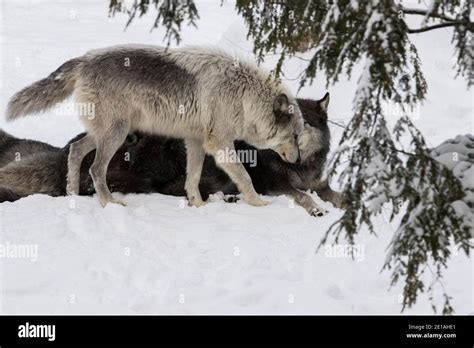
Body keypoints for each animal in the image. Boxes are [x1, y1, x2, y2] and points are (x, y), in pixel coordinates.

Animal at [0, 94, 340, 216]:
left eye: (304, 125)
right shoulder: (277, 186)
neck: (302, 166)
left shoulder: (321, 184)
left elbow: (339, 195)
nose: (291, 151)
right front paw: (317, 210)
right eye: (291, 126)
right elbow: (302, 195)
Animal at [6, 43, 304, 208]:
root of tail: (85, 59)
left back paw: (72, 193)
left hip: (109, 133)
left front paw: (198, 204)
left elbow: (193, 178)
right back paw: (109, 203)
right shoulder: (218, 143)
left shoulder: (195, 142)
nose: (299, 162)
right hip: (116, 135)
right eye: (295, 137)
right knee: (95, 168)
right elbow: (244, 176)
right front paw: (259, 203)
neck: (244, 96)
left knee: (76, 150)